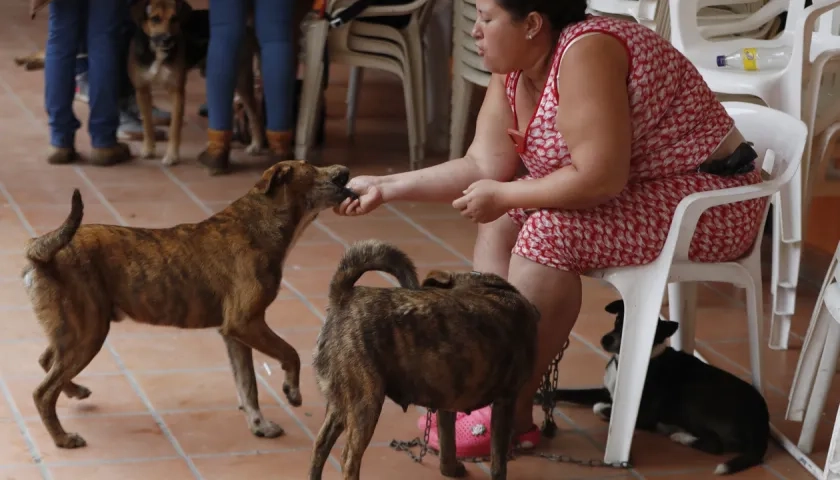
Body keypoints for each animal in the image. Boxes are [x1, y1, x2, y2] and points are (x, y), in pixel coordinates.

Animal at [308, 240, 540, 480]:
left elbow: (448, 444)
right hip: (365, 403)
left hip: (339, 403)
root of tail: (343, 297)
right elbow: (498, 461)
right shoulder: (506, 401)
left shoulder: (448, 401)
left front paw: (450, 470)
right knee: (349, 458)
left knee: (320, 445)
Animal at [536, 300, 772, 476]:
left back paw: (680, 436)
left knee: (715, 445)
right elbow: (570, 392)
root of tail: (762, 424)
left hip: (692, 402)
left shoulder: (644, 413)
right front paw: (540, 396)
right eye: (618, 319)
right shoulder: (606, 389)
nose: (605, 340)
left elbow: (599, 407)